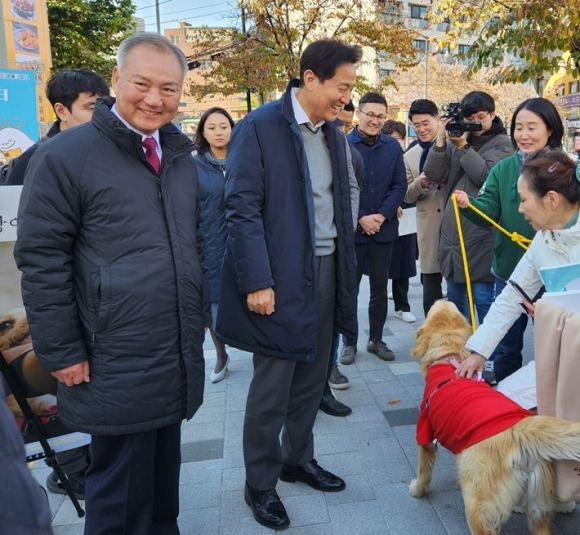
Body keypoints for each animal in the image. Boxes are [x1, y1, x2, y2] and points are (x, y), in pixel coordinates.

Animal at [408, 302, 580, 535]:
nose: (442, 299)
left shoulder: (425, 433)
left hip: (477, 503)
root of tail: (519, 431)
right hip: (538, 506)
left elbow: (424, 470)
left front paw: (417, 489)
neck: (449, 356)